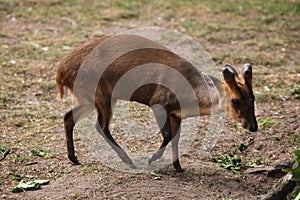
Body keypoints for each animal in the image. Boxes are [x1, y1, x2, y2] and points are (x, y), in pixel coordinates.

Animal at [56, 33, 258, 171]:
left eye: (253, 97)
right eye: (235, 100)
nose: (253, 126)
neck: (190, 96)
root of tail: (61, 71)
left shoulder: (176, 115)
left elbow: (176, 138)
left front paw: (178, 167)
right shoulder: (158, 103)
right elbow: (167, 135)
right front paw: (152, 159)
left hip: (88, 97)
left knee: (68, 117)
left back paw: (74, 158)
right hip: (102, 94)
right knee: (100, 125)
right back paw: (128, 161)